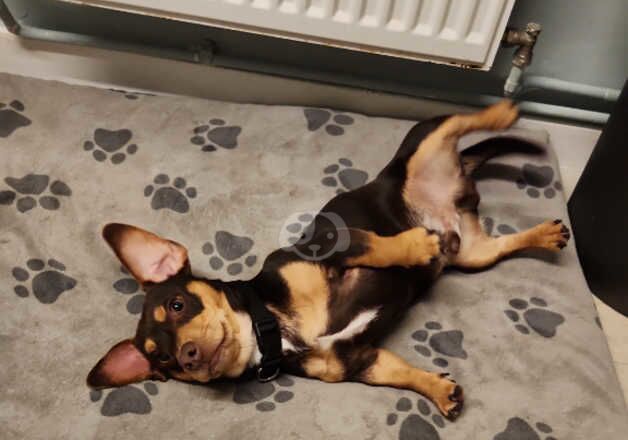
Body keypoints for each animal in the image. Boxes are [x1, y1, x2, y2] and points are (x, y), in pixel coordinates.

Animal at [86, 100, 572, 420]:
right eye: (164, 361)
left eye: (178, 305)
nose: (187, 357)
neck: (273, 329)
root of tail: (457, 188)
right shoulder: (359, 360)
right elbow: (400, 372)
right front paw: (438, 390)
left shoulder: (331, 242)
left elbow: (375, 246)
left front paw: (415, 248)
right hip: (471, 253)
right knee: (499, 245)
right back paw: (546, 234)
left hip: (422, 146)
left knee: (454, 120)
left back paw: (504, 110)